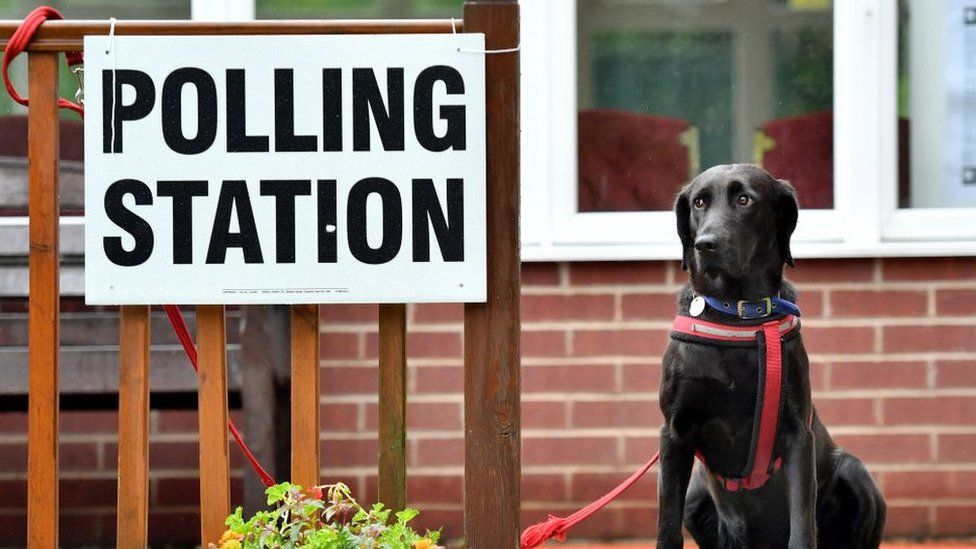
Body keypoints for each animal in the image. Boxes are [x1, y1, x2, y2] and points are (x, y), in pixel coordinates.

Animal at [660, 165, 888, 544]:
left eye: (744, 199)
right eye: (698, 202)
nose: (705, 244)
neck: (736, 314)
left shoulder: (798, 434)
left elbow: (801, 525)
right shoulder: (674, 433)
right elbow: (667, 525)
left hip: (853, 471)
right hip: (695, 498)